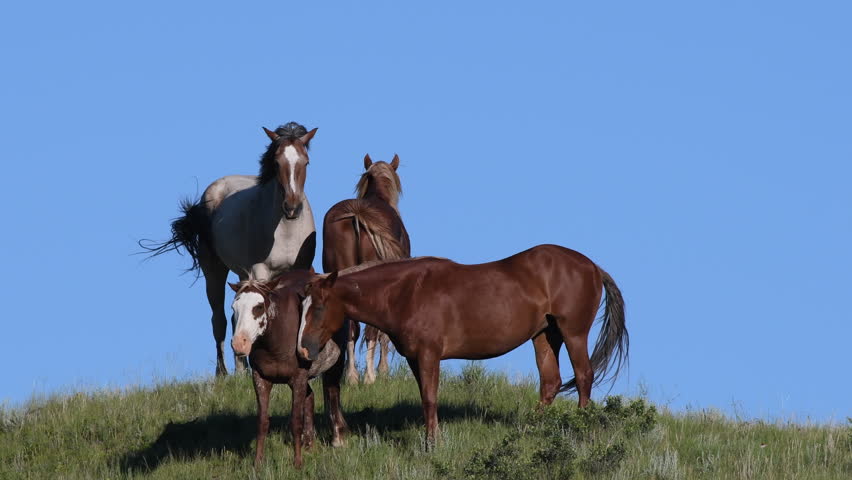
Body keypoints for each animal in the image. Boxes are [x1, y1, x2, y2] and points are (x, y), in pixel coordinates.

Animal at [140, 122, 318, 375]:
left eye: (306, 162)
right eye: (276, 163)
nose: (292, 207)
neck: (285, 231)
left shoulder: (301, 268)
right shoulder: (261, 272)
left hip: (242, 274)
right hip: (214, 271)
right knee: (220, 319)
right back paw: (225, 372)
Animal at [229, 270, 348, 469]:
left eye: (258, 307)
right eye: (234, 308)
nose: (239, 343)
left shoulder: (298, 378)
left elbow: (295, 421)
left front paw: (297, 464)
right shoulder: (260, 378)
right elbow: (262, 421)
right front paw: (258, 463)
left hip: (336, 362)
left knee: (332, 392)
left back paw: (337, 438)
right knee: (310, 397)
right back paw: (309, 443)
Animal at [297, 244, 628, 446]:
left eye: (319, 307)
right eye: (303, 306)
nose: (303, 349)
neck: (406, 292)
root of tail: (592, 267)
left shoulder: (429, 355)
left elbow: (430, 399)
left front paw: (432, 444)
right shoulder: (416, 359)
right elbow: (425, 398)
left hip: (573, 333)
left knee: (583, 377)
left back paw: (580, 428)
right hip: (546, 335)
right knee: (551, 383)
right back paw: (530, 429)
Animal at [321, 154, 409, 384]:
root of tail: (358, 214)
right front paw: (383, 370)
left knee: (351, 328)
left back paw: (351, 376)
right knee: (369, 331)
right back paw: (369, 377)